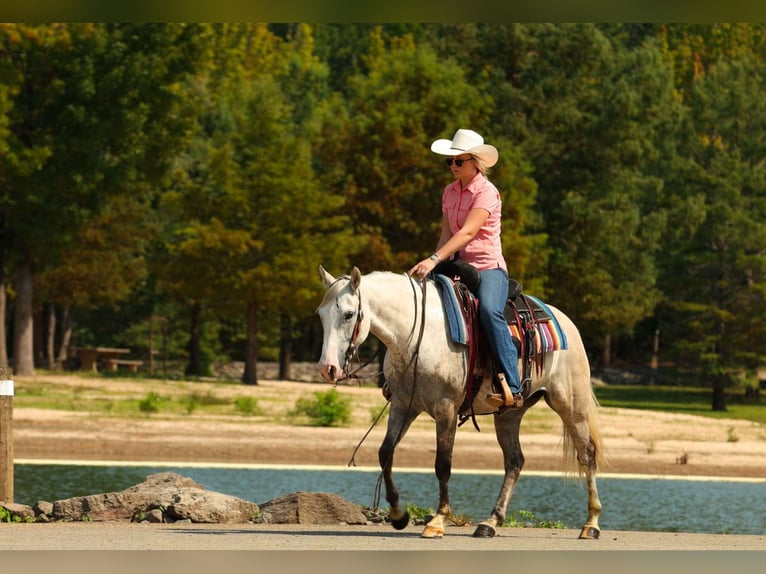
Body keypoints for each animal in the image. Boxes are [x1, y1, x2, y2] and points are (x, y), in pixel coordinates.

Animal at [316, 265, 603, 540]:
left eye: (349, 314)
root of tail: (565, 322)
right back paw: (490, 522)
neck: (415, 336)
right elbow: (385, 453)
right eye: (321, 315)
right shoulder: (403, 405)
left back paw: (591, 524)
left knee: (586, 454)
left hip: (570, 405)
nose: (327, 368)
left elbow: (443, 464)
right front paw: (398, 515)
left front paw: (437, 521)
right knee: (515, 461)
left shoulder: (446, 409)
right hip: (509, 414)